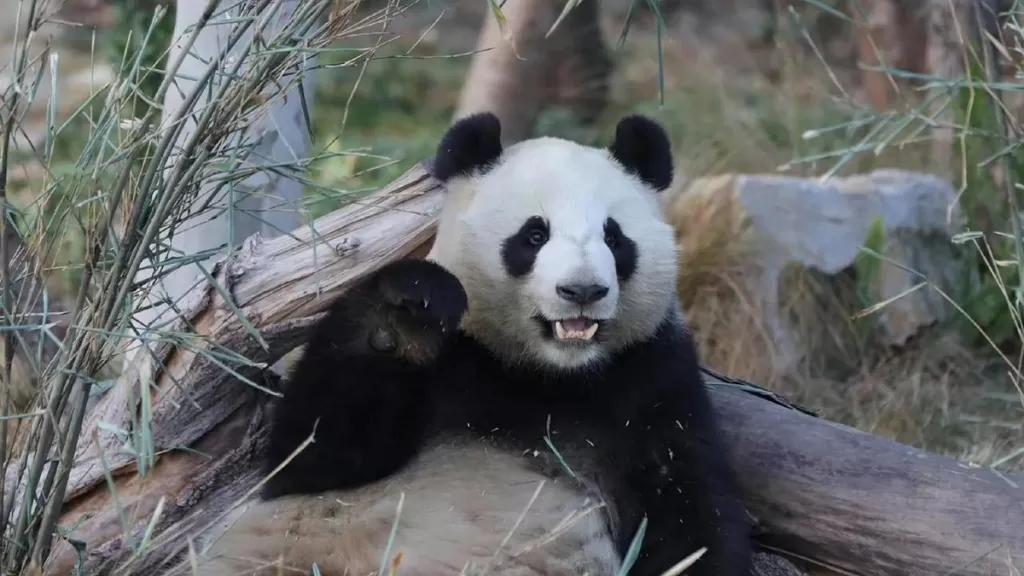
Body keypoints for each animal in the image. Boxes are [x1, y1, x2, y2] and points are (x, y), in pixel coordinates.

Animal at [182, 113, 754, 576]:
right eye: (534, 235)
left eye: (614, 238)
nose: (582, 291)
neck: (547, 373)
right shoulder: (456, 362)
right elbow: (312, 459)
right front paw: (408, 312)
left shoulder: (647, 377)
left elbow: (686, 513)